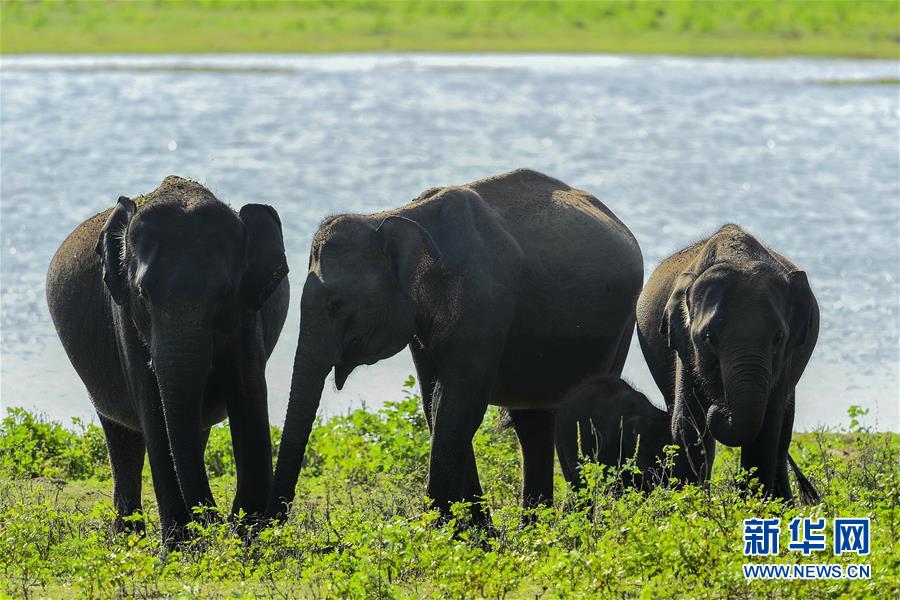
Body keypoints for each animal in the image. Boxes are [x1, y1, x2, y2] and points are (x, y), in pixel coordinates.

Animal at [45, 176, 288, 548]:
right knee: (123, 438)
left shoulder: (248, 315)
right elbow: (153, 409)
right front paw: (180, 548)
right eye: (143, 294)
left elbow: (248, 396)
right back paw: (128, 540)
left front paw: (243, 538)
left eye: (224, 295)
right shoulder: (124, 315)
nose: (214, 521)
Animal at [264, 169, 644, 524]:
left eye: (337, 304)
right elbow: (435, 404)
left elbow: (458, 407)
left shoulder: (486, 303)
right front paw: (476, 534)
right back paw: (534, 528)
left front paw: (444, 531)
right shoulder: (421, 328)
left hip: (622, 326)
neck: (396, 215)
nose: (270, 524)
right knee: (532, 424)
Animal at [636, 220, 820, 502]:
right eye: (709, 337)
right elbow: (687, 422)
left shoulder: (786, 357)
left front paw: (755, 506)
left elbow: (767, 427)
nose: (721, 406)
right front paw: (691, 504)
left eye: (778, 337)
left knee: (783, 432)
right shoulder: (683, 344)